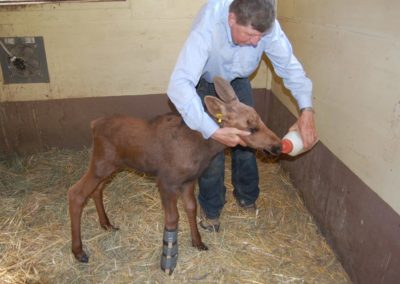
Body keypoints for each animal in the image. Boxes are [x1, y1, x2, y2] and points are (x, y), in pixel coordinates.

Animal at [68, 75, 282, 272]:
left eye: (259, 118)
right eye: (251, 127)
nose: (278, 145)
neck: (202, 149)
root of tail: (94, 125)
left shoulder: (188, 181)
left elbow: (191, 208)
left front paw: (198, 242)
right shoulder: (167, 181)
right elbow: (172, 218)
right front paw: (169, 258)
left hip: (110, 166)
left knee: (96, 190)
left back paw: (106, 224)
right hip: (100, 163)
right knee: (76, 193)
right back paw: (79, 251)